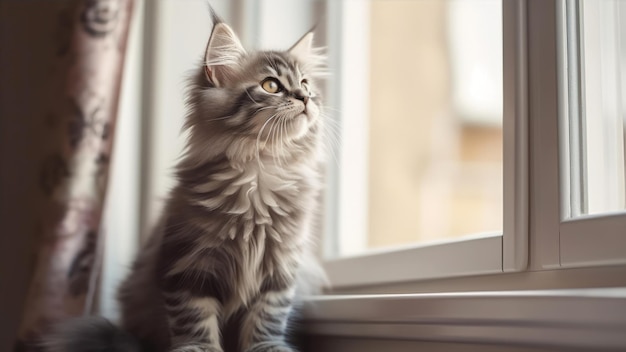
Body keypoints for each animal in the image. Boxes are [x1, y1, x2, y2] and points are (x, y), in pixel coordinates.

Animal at [44, 8, 326, 352]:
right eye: (271, 85)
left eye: (305, 84)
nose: (306, 98)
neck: (261, 171)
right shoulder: (187, 265)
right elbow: (194, 318)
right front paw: (200, 348)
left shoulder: (280, 271)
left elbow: (267, 319)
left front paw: (268, 348)